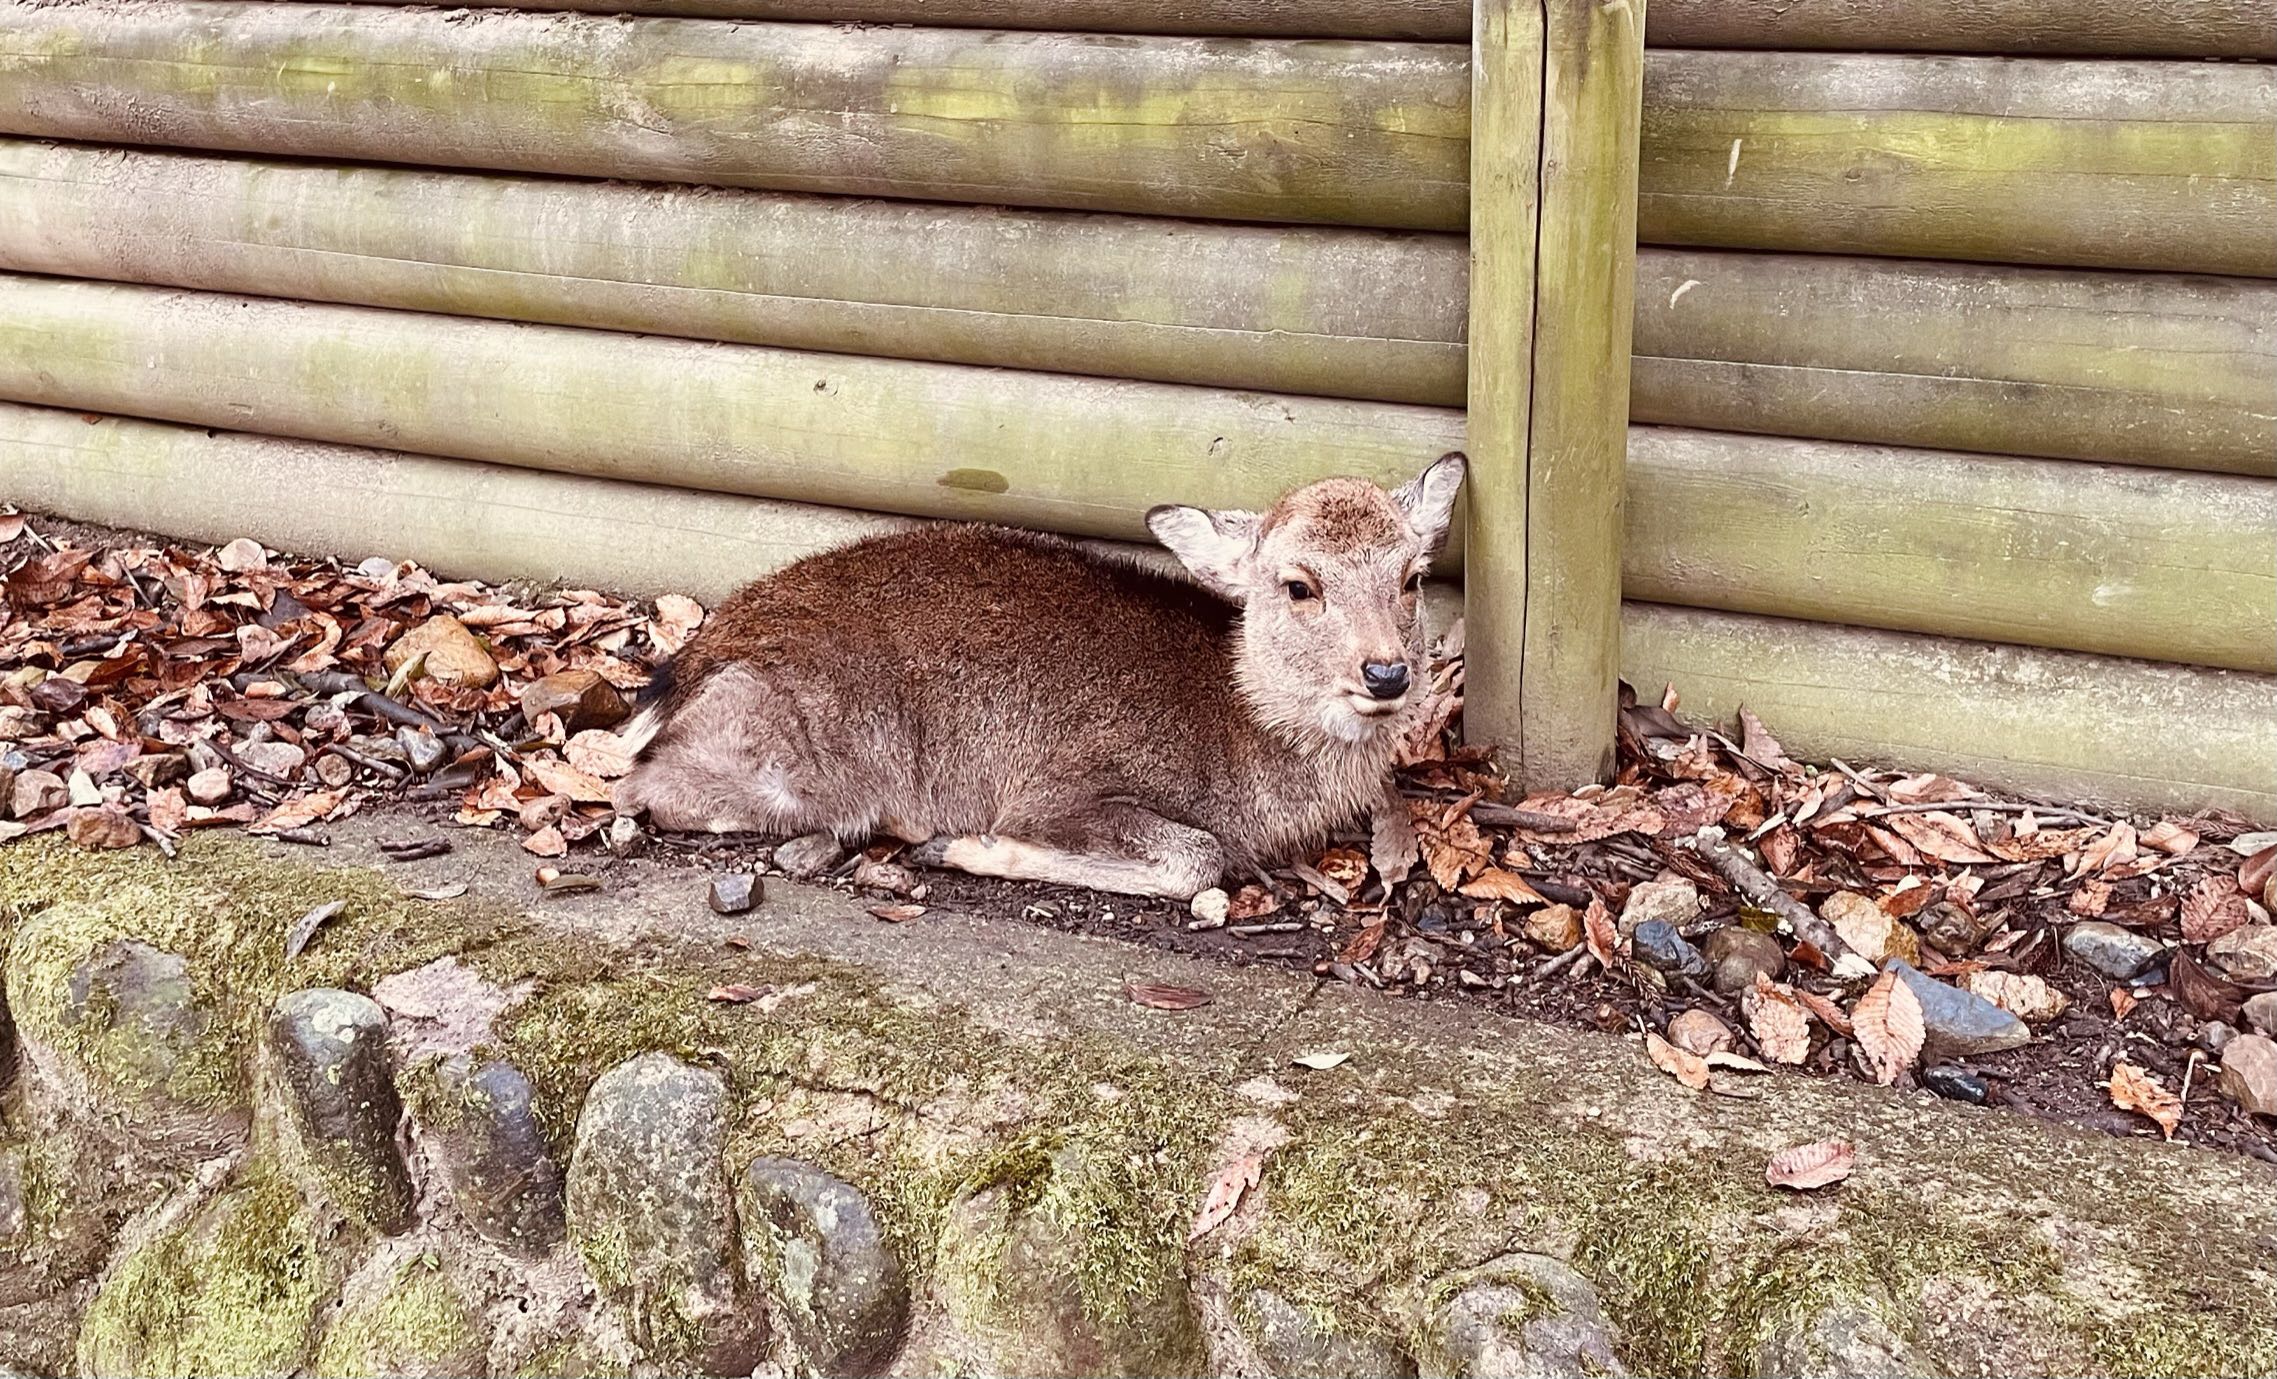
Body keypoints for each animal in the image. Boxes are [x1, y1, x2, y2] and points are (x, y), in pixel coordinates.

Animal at [614, 457, 1466, 910]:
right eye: (1297, 585)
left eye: (1411, 577)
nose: (1385, 671)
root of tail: (681, 667)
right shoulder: (1063, 783)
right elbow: (1195, 855)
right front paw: (968, 845)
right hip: (811, 749)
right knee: (642, 786)